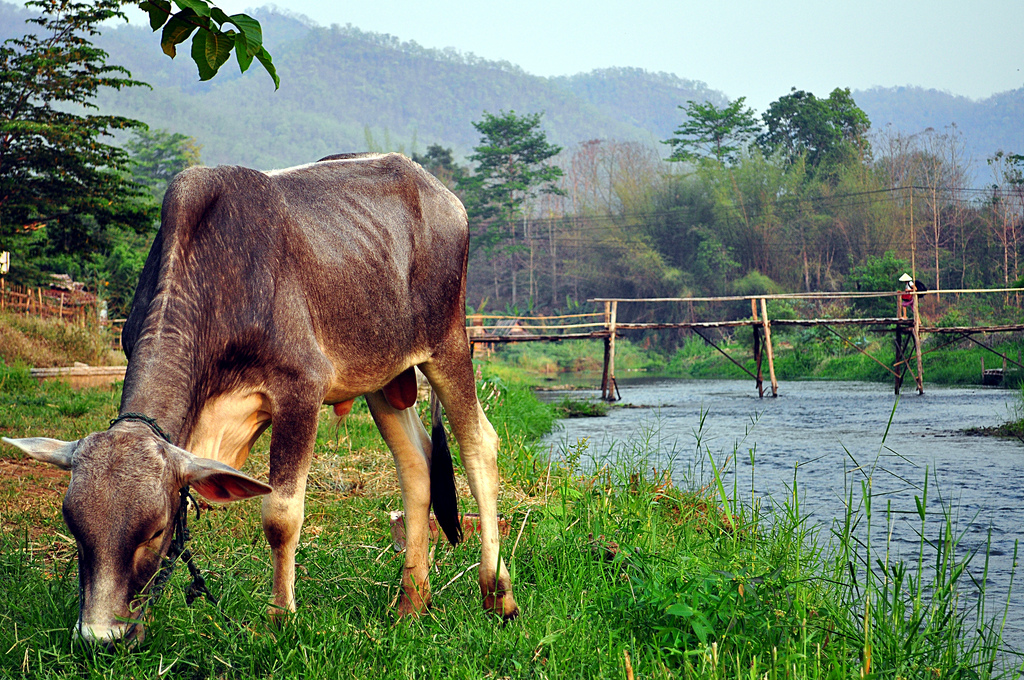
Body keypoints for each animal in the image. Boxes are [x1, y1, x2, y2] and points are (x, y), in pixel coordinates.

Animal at [2, 151, 520, 647]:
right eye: (74, 528)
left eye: (155, 530)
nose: (100, 638)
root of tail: (440, 193)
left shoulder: (301, 390)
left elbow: (280, 515)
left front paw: (280, 618)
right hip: (383, 376)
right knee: (416, 465)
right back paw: (411, 602)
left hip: (449, 344)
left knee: (480, 446)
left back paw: (497, 593)